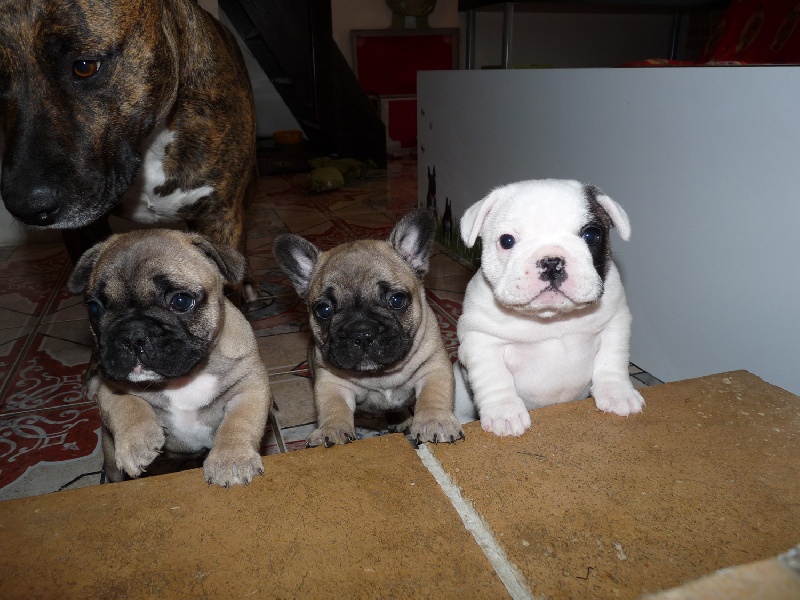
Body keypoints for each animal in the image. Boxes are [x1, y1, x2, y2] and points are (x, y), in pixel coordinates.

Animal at [456, 178, 644, 436]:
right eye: (506, 241)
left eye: (591, 235)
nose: (552, 261)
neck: (552, 318)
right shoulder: (481, 339)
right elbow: (494, 377)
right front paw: (504, 412)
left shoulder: (615, 323)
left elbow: (612, 360)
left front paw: (618, 393)